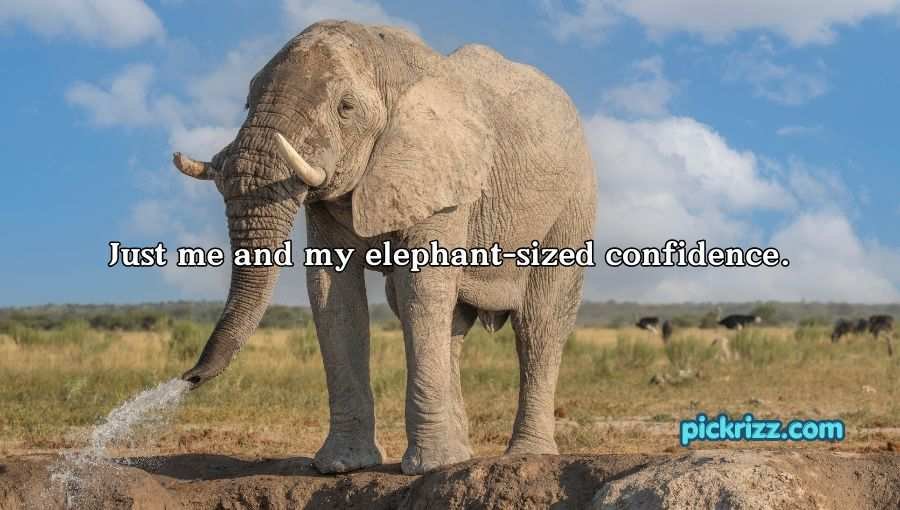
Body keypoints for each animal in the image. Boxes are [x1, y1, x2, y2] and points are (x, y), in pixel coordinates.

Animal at [173, 20, 597, 475]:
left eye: (345, 107)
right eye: (248, 100)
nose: (188, 378)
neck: (387, 63)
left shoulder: (440, 176)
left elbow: (421, 287)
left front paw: (425, 468)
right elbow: (332, 294)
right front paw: (342, 467)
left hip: (573, 201)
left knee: (540, 322)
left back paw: (526, 454)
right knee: (451, 323)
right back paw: (460, 454)